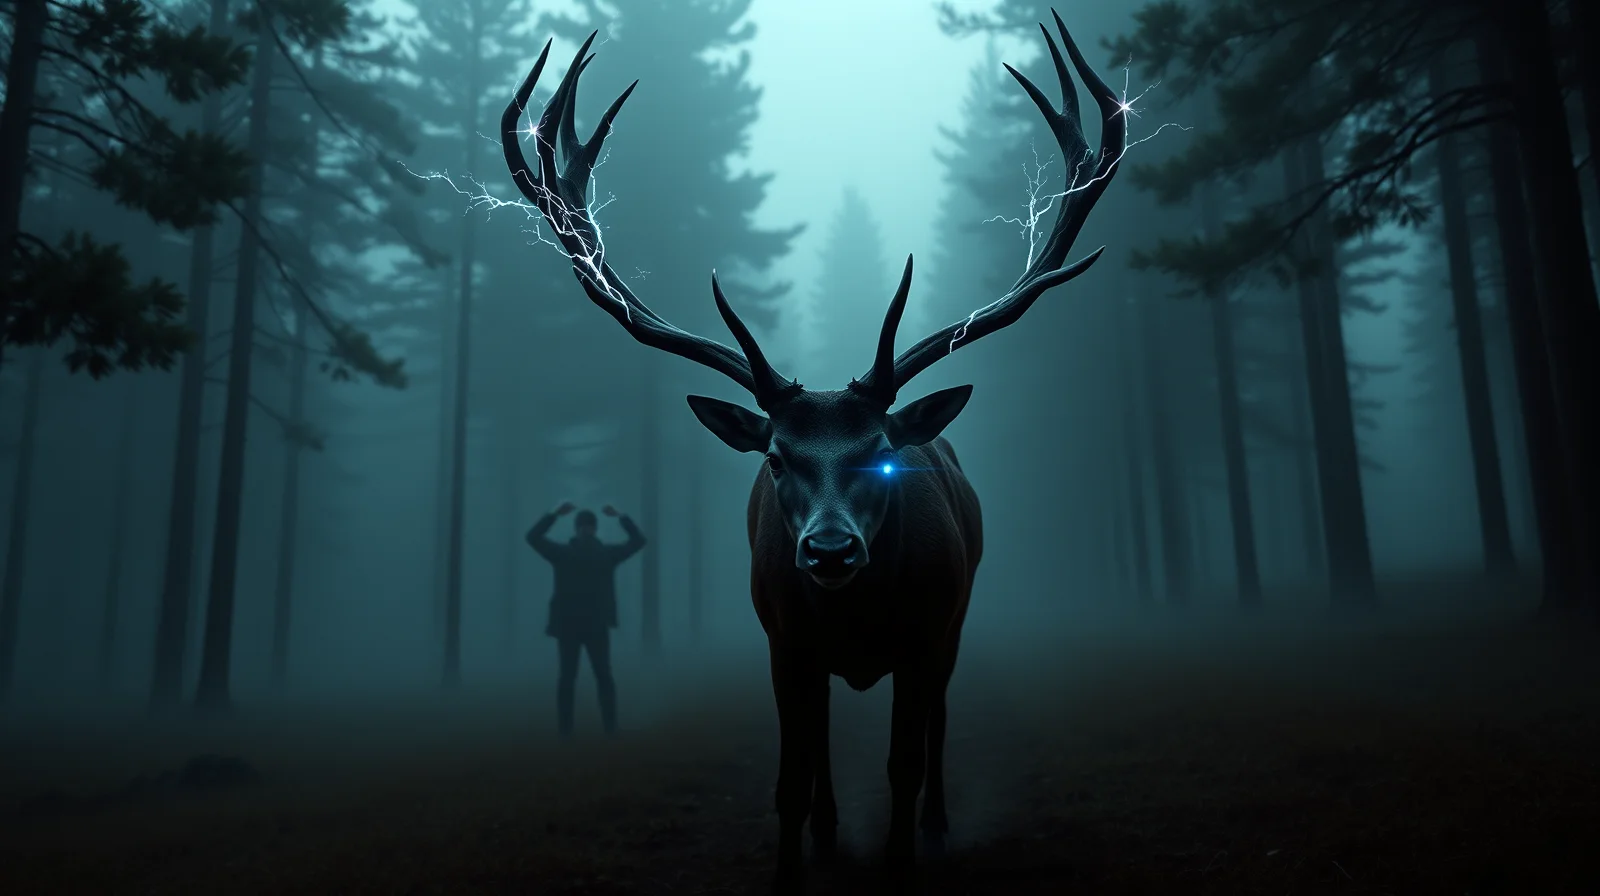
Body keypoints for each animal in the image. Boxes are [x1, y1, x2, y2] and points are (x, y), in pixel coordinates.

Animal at [499, 9, 1125, 889]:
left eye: (880, 451)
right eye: (774, 457)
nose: (829, 551)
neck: (858, 620)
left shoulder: (929, 631)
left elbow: (904, 762)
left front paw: (903, 852)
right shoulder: (784, 641)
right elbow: (790, 778)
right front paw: (795, 864)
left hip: (955, 620)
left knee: (938, 723)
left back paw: (936, 824)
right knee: (824, 739)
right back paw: (832, 830)